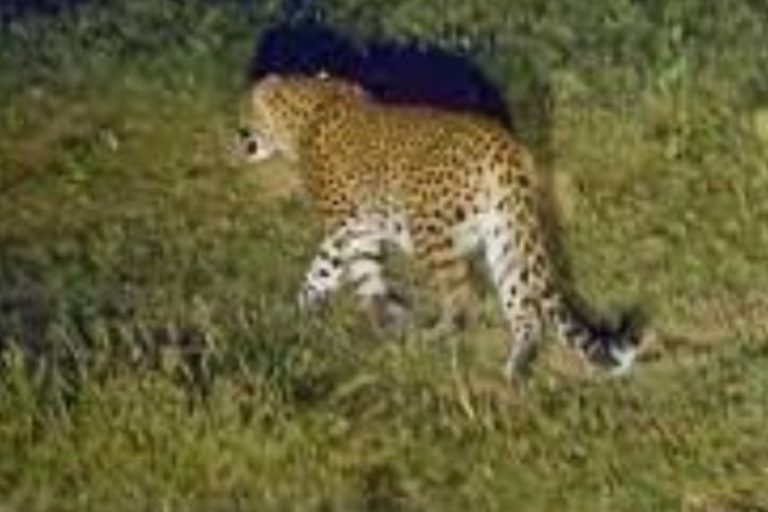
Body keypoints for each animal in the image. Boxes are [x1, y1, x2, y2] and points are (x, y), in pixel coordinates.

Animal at [237, 73, 639, 380]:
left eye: (245, 120)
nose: (238, 137)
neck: (311, 107)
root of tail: (501, 142)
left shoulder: (344, 226)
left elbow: (324, 269)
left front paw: (298, 315)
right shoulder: (362, 229)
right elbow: (360, 275)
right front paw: (380, 316)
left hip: (429, 229)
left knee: (462, 297)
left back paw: (434, 339)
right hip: (506, 234)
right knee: (525, 308)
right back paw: (515, 368)